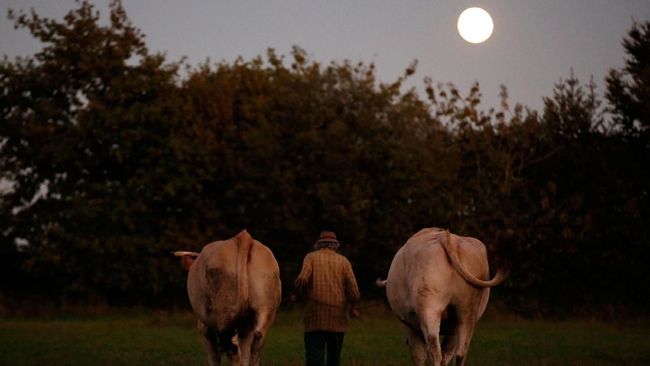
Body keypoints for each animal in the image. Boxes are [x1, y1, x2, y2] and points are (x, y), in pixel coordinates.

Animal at [173, 230, 280, 364]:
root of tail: (243, 237)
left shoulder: (205, 329)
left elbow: (214, 357)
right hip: (264, 311)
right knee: (252, 350)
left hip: (225, 312)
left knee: (234, 352)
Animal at [374, 227, 506, 364]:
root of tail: (444, 237)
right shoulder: (452, 331)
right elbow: (448, 352)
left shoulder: (408, 326)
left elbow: (419, 356)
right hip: (466, 311)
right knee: (460, 353)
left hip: (429, 308)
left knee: (435, 350)